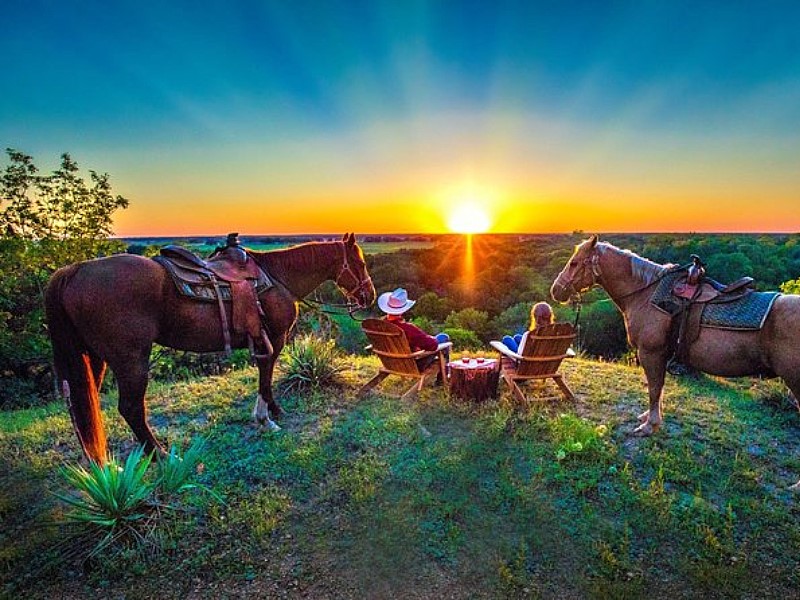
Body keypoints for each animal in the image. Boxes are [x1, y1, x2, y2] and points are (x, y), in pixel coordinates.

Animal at [45, 231, 376, 464]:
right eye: (360, 263)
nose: (369, 296)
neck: (277, 276)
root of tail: (74, 271)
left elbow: (264, 375)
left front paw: (269, 412)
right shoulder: (275, 338)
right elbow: (267, 376)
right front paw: (267, 417)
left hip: (93, 359)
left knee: (84, 408)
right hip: (131, 360)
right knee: (130, 408)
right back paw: (161, 455)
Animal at [552, 237, 800, 438]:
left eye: (574, 263)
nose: (556, 290)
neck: (646, 293)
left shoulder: (650, 353)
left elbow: (654, 387)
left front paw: (649, 426)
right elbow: (658, 387)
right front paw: (650, 418)